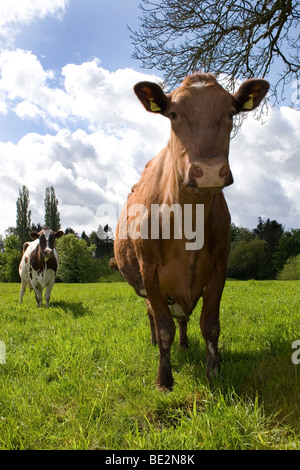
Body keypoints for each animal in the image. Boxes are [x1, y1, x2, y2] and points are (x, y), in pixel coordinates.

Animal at [113, 72, 270, 390]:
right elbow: (163, 327)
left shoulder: (220, 266)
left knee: (183, 319)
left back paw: (185, 346)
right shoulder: (149, 271)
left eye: (231, 113)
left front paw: (214, 372)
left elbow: (210, 325)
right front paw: (164, 379)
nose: (209, 170)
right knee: (153, 316)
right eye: (173, 114)